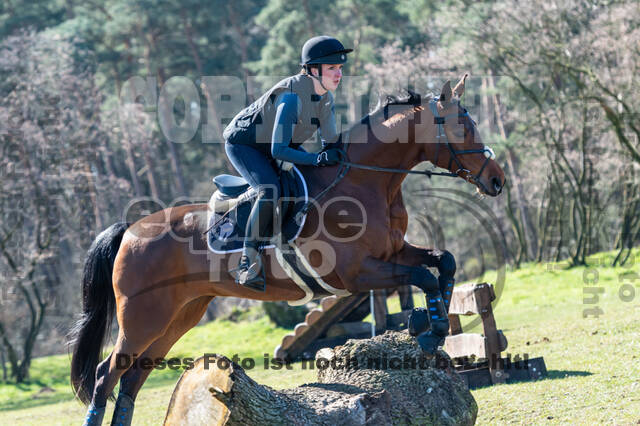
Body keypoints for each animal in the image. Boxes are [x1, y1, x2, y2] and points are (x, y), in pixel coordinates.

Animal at [71, 75, 504, 424]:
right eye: (462, 126)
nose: (497, 181)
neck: (365, 183)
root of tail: (130, 230)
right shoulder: (358, 272)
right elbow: (422, 276)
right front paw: (427, 330)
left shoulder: (392, 254)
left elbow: (442, 263)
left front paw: (433, 325)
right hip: (142, 317)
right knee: (106, 374)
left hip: (179, 316)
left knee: (131, 379)